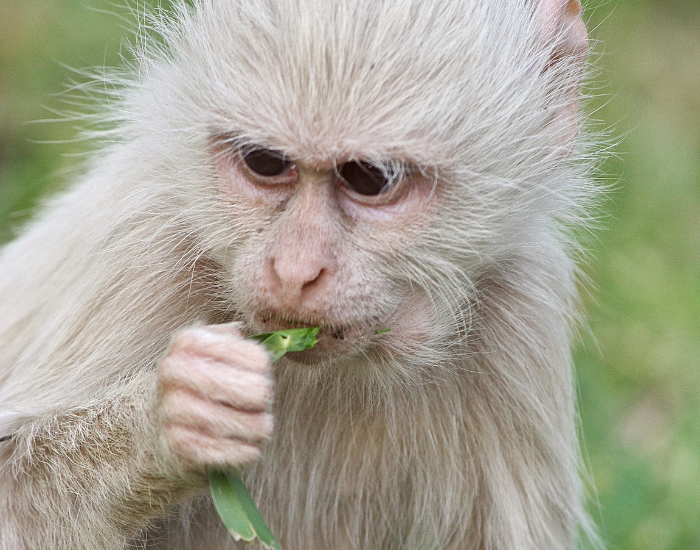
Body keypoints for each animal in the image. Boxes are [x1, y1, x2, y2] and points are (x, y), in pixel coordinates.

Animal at [0, 0, 600, 548]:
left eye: (371, 178)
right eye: (265, 162)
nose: (293, 270)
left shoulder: (521, 303)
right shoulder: (149, 244)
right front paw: (170, 420)